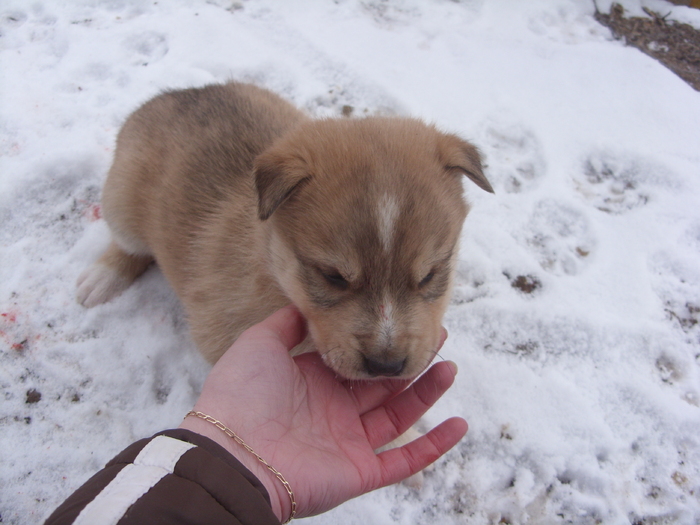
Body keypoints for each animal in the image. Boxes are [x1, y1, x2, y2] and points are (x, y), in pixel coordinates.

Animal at [78, 81, 492, 380]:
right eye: (332, 276)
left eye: (430, 275)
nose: (386, 367)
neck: (273, 267)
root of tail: (179, 93)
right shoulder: (224, 332)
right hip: (121, 200)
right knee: (128, 243)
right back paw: (102, 278)